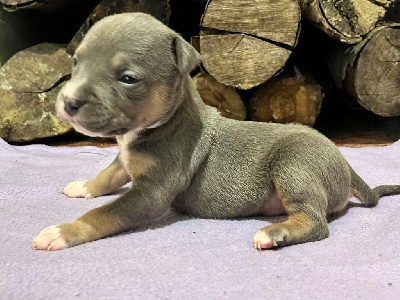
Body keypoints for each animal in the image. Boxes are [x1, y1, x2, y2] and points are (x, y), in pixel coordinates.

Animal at [32, 12, 400, 251]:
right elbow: (108, 174)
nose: (68, 102)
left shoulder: (152, 193)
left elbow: (106, 212)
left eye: (128, 78)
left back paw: (274, 234)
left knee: (315, 222)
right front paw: (84, 186)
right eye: (76, 61)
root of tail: (346, 165)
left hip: (295, 162)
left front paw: (62, 232)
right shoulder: (126, 159)